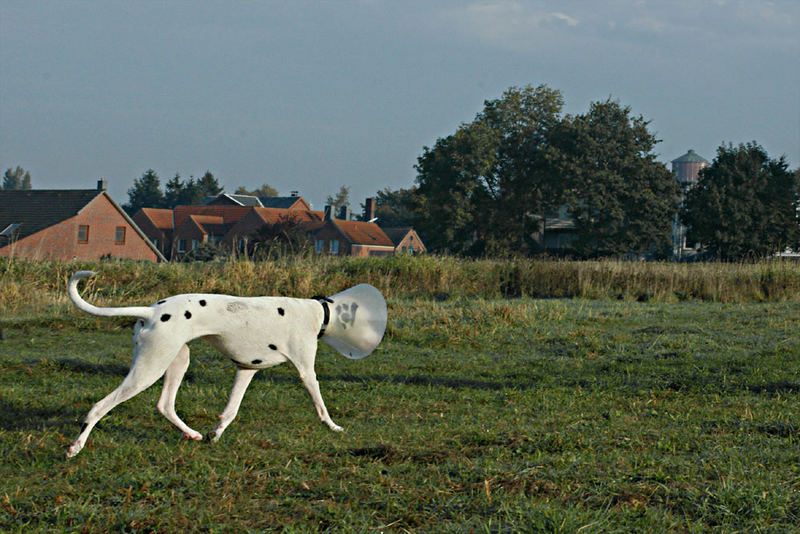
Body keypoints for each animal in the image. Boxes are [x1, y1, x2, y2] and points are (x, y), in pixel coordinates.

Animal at [65, 274, 384, 458]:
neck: (319, 311)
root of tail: (151, 311)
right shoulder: (307, 373)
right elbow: (320, 405)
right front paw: (334, 427)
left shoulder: (247, 369)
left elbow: (231, 410)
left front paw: (215, 434)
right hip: (148, 369)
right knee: (99, 407)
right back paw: (75, 447)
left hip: (178, 361)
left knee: (165, 405)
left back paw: (192, 433)